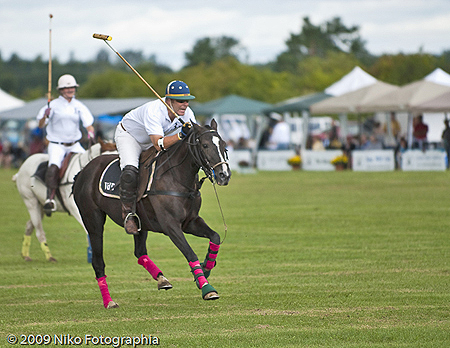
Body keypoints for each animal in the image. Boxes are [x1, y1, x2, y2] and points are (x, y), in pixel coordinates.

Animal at [73, 121, 232, 308]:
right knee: (98, 262)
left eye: (224, 146)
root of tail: (82, 172)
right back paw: (109, 301)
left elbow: (215, 237)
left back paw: (162, 279)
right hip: (93, 220)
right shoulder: (170, 225)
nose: (224, 175)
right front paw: (207, 288)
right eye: (205, 145)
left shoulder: (190, 222)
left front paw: (205, 269)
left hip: (140, 224)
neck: (177, 177)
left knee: (139, 252)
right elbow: (190, 253)